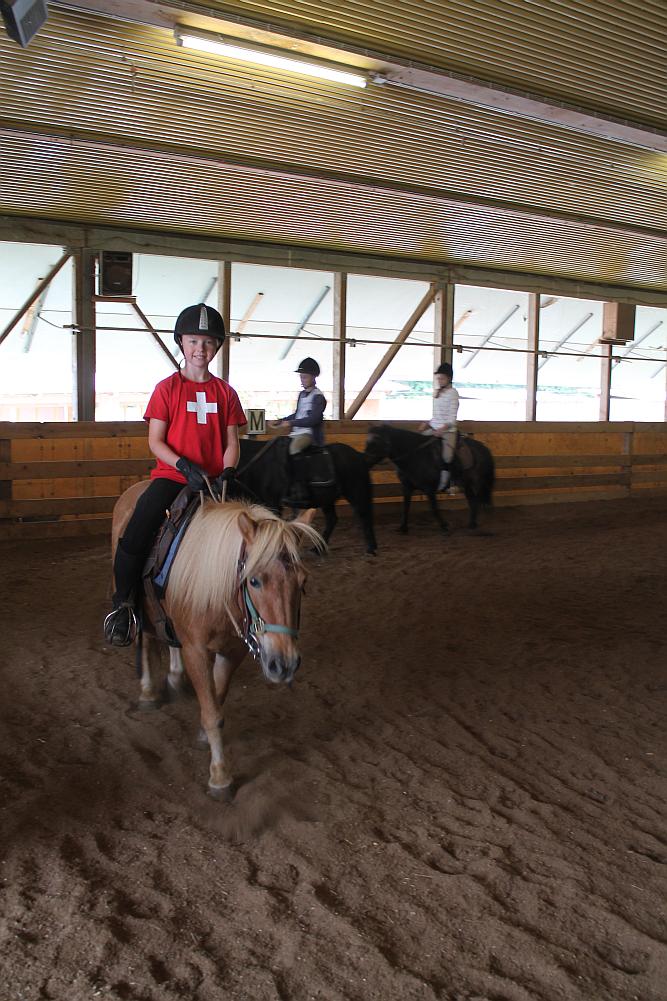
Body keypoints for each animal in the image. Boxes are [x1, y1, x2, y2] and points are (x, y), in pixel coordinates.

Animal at [111, 482, 323, 800]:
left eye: (303, 582)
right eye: (254, 581)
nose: (283, 663)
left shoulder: (232, 651)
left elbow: (218, 701)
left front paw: (204, 736)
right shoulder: (197, 651)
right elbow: (212, 713)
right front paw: (220, 777)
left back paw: (175, 677)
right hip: (139, 605)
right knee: (146, 639)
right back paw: (148, 692)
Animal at [236, 436, 378, 555]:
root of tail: (358, 456)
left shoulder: (272, 503)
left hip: (355, 492)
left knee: (364, 515)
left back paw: (371, 548)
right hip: (327, 499)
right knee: (332, 519)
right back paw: (318, 548)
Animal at [364, 424, 495, 534]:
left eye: (376, 442)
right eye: (367, 442)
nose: (364, 461)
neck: (415, 456)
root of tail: (483, 447)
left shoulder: (429, 489)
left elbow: (434, 508)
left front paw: (444, 526)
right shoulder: (406, 487)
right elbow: (406, 507)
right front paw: (403, 527)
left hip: (476, 482)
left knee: (476, 500)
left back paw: (473, 524)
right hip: (467, 484)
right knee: (472, 501)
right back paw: (471, 524)